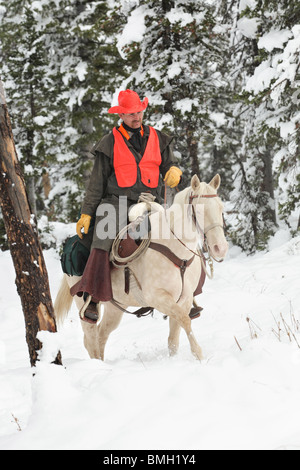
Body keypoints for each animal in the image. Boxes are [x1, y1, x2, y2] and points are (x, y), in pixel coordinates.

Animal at [54, 174, 227, 362]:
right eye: (200, 210)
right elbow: (185, 320)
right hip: (83, 303)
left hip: (114, 308)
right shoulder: (157, 297)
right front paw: (199, 355)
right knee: (90, 338)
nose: (220, 248)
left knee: (101, 335)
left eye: (221, 208)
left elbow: (174, 337)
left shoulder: (184, 299)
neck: (174, 249)